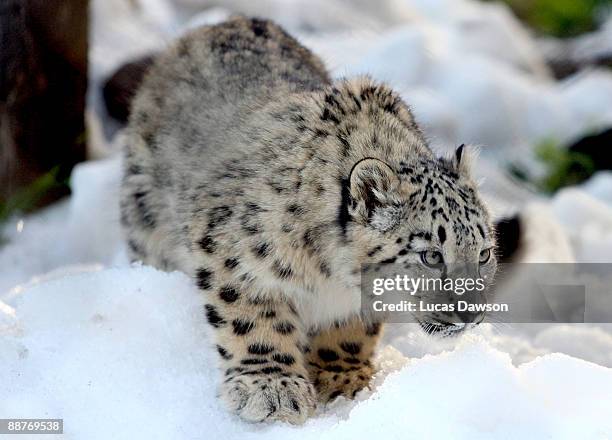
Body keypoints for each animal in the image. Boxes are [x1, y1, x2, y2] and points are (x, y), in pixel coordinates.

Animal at [119, 18, 498, 426]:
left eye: (485, 253)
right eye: (431, 255)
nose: (471, 314)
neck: (328, 277)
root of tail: (225, 22)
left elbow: (350, 327)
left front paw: (342, 377)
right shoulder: (233, 253)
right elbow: (252, 314)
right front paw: (271, 389)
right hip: (146, 216)